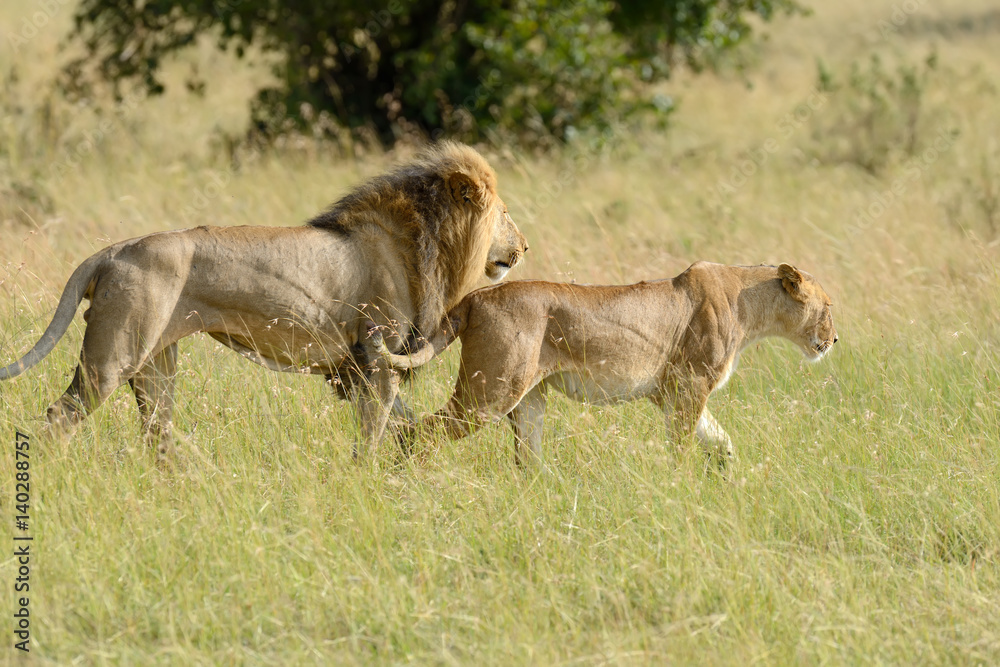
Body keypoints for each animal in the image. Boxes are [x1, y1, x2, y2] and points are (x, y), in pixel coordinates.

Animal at [0, 142, 528, 461]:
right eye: (505, 214)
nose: (523, 248)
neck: (424, 241)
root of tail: (112, 251)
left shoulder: (360, 367)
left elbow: (400, 423)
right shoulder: (378, 360)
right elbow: (374, 432)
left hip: (156, 362)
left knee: (157, 430)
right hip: (114, 355)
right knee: (61, 415)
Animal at [376, 262, 836, 468]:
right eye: (828, 307)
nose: (834, 340)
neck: (749, 303)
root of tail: (475, 296)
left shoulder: (671, 392)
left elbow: (719, 439)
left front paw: (725, 473)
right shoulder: (688, 385)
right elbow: (683, 446)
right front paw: (684, 485)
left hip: (528, 399)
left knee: (527, 458)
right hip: (489, 393)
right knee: (415, 433)